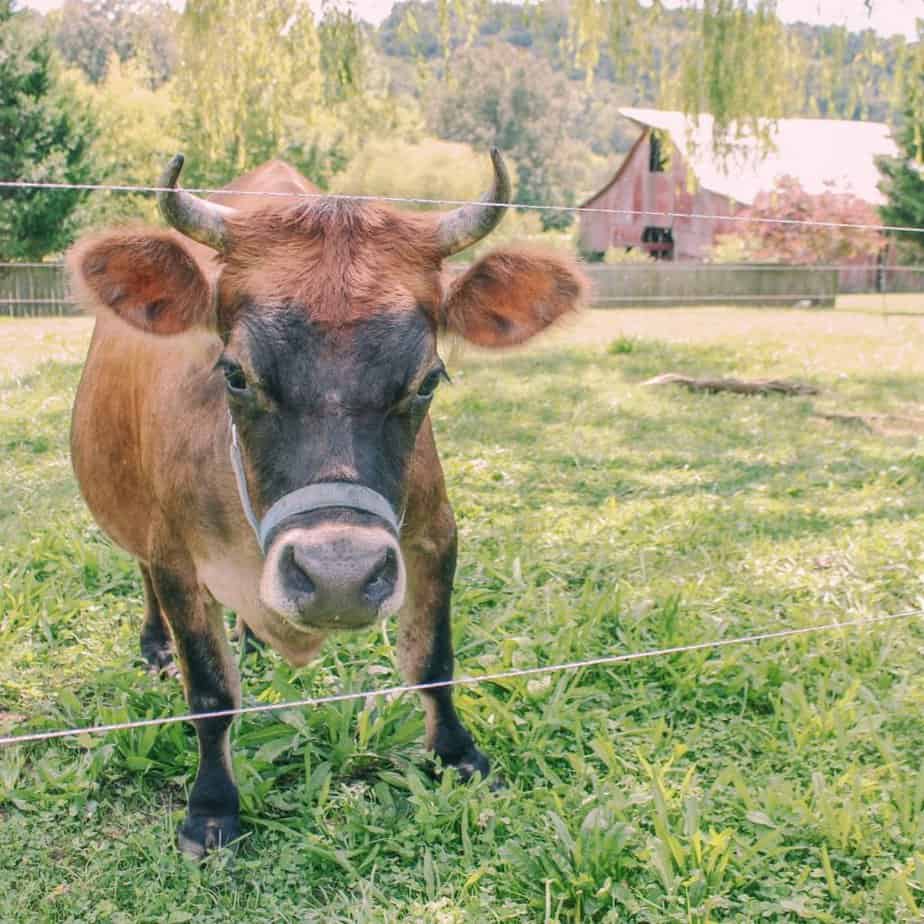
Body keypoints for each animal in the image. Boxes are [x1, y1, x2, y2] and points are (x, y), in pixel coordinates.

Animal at [68, 151, 585, 858]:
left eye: (428, 380)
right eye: (234, 374)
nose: (339, 576)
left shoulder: (434, 533)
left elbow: (433, 660)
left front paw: (459, 756)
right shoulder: (175, 555)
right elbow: (210, 693)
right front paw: (212, 808)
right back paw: (156, 645)